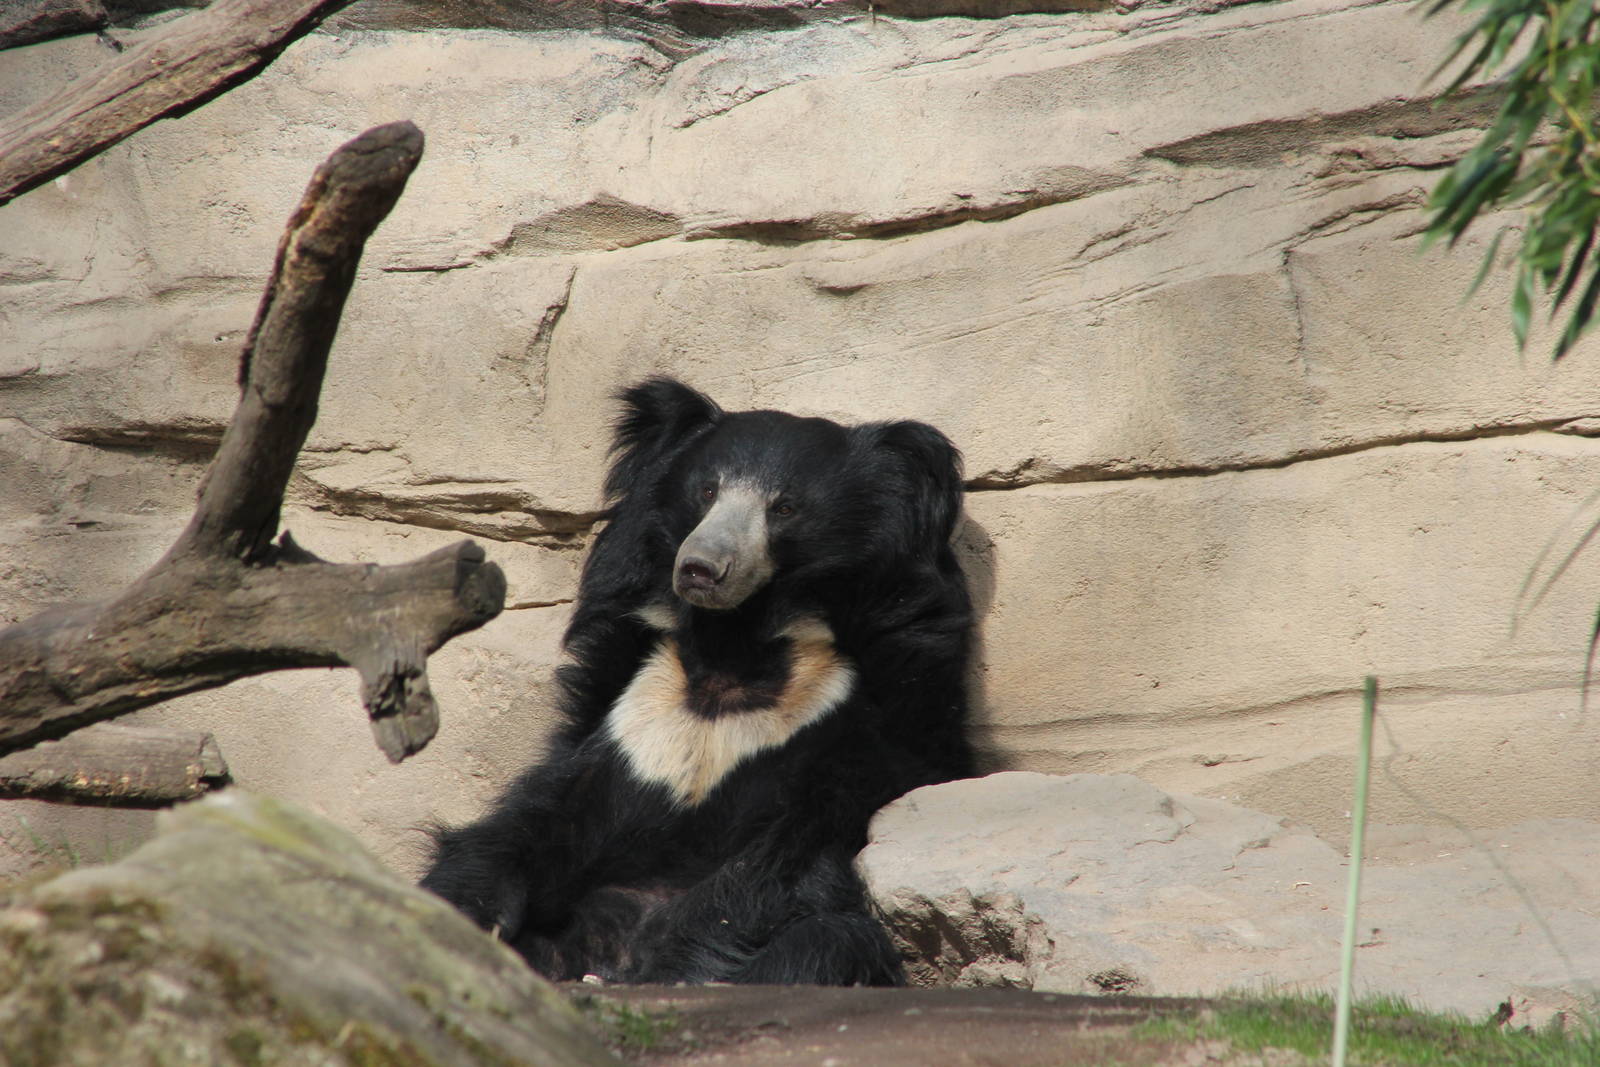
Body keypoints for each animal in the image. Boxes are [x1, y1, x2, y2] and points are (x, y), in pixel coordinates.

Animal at [420, 377, 973, 986]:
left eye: (784, 507)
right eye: (707, 491)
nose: (701, 568)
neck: (734, 642)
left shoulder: (861, 722)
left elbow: (783, 861)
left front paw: (675, 966)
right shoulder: (629, 707)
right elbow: (534, 817)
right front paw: (465, 915)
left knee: (826, 942)